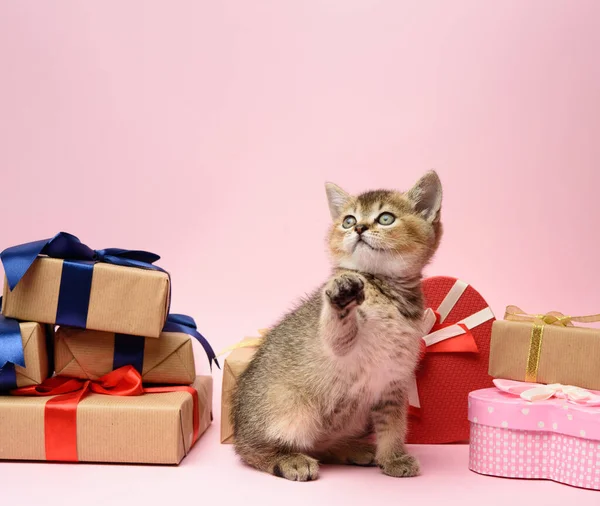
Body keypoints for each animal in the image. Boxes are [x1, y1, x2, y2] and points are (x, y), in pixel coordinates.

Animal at [232, 171, 442, 482]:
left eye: (386, 218)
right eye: (349, 221)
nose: (360, 228)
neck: (388, 293)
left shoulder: (392, 381)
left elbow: (393, 427)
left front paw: (392, 458)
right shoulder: (341, 346)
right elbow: (337, 329)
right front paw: (341, 293)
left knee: (320, 445)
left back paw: (352, 449)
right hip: (292, 408)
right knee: (252, 451)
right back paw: (288, 459)